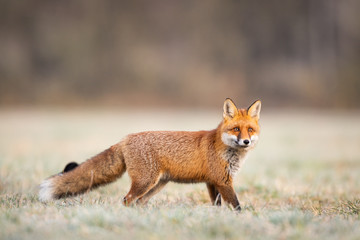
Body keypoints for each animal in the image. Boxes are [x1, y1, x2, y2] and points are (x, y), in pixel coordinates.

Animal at [38, 98, 260, 211]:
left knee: (138, 202)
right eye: (236, 129)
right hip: (145, 182)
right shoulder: (222, 181)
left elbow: (217, 205)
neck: (224, 148)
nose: (246, 142)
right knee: (127, 200)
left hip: (156, 185)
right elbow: (237, 205)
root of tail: (125, 138)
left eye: (250, 130)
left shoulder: (212, 181)